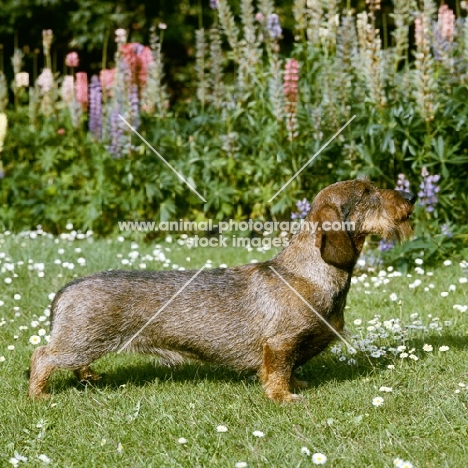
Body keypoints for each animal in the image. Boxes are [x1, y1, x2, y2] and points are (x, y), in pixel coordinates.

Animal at [28, 177, 414, 400]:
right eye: (367, 193)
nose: (411, 199)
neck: (307, 272)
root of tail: (69, 287)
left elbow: (290, 371)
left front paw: (297, 386)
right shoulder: (280, 343)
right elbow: (279, 371)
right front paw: (284, 397)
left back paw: (89, 378)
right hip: (79, 342)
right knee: (42, 356)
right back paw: (39, 394)